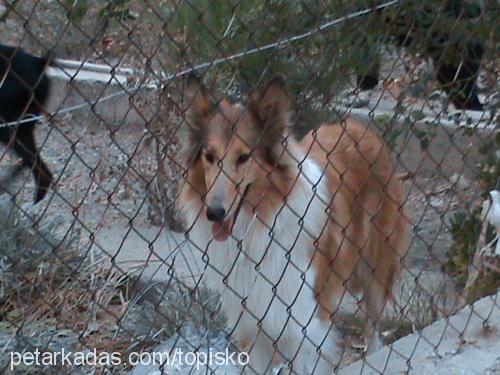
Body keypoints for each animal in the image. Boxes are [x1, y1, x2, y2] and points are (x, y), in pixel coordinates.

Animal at [176, 75, 410, 374]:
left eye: (243, 157)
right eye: (209, 156)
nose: (214, 213)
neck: (256, 228)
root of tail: (362, 129)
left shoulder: (305, 328)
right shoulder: (252, 327)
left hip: (375, 269)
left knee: (373, 327)